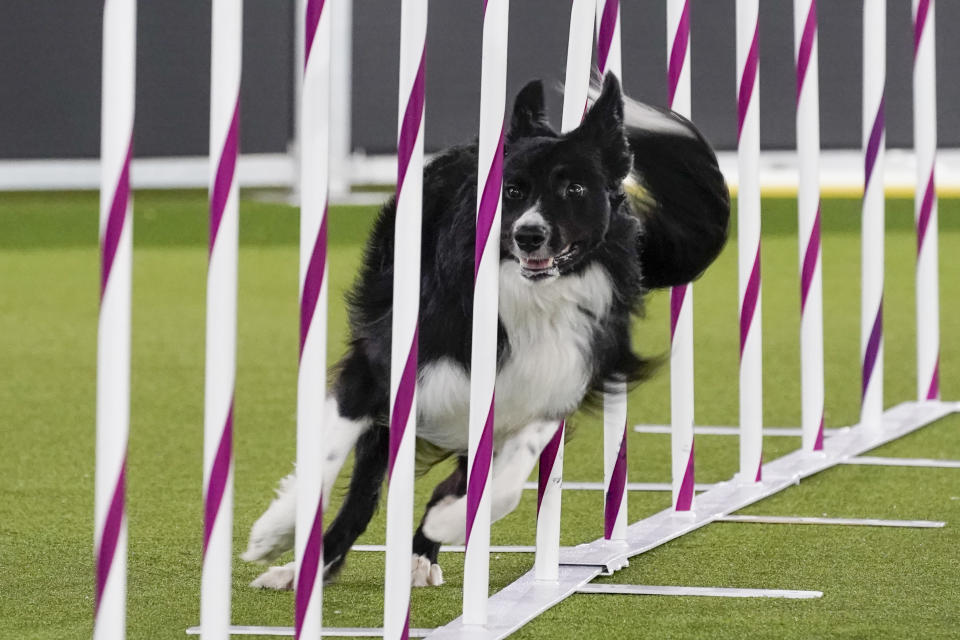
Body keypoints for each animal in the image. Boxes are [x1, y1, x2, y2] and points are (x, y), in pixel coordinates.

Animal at [240, 76, 728, 592]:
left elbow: (506, 485)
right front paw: (273, 532)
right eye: (512, 190)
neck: (526, 296)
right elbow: (328, 455)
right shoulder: (380, 363)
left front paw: (447, 521)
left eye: (574, 188)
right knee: (362, 494)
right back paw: (300, 569)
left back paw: (421, 549)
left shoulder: (552, 380)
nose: (529, 236)